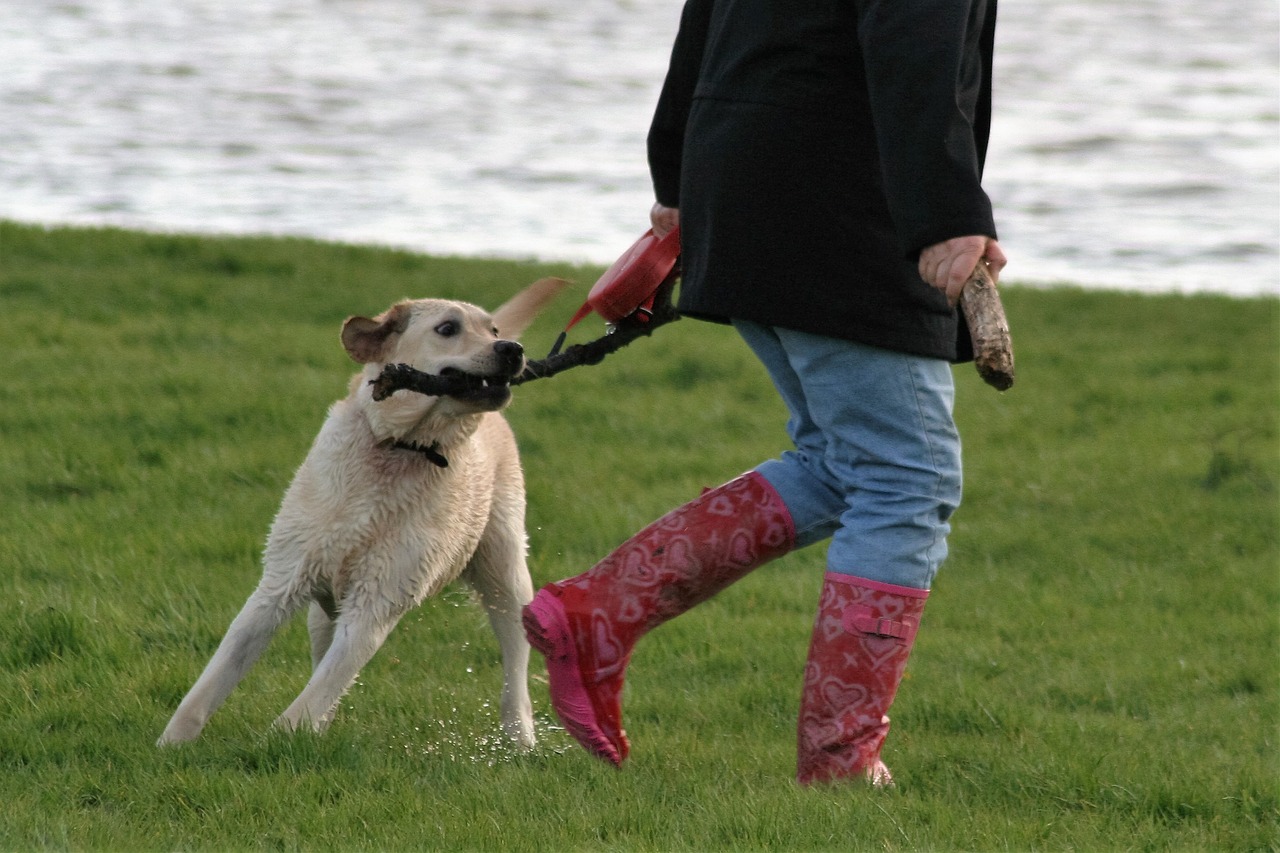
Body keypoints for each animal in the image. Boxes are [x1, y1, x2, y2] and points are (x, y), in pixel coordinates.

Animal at [156, 277, 565, 742]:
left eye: (492, 330)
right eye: (447, 328)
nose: (512, 348)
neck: (398, 447)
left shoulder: (376, 601)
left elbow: (316, 693)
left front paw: (277, 741)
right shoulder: (280, 583)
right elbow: (213, 680)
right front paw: (171, 745)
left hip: (506, 572)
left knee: (515, 664)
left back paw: (520, 739)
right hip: (321, 612)